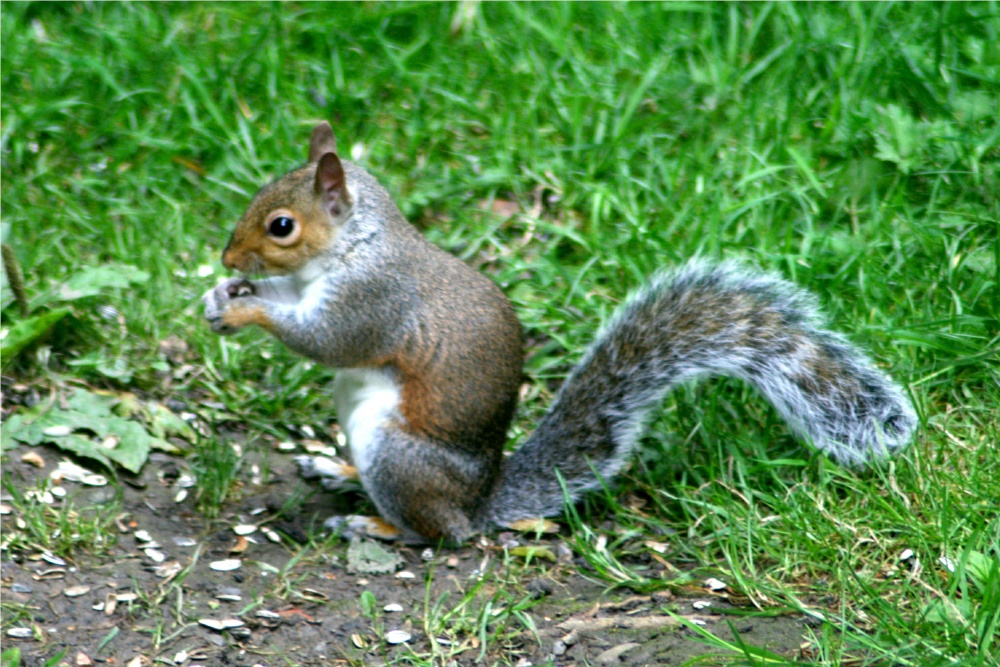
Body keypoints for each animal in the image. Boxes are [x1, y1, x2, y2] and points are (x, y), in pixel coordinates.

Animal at [203, 121, 917, 544]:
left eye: (282, 226)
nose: (229, 256)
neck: (352, 247)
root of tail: (480, 503)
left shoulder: (372, 300)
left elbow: (326, 341)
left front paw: (243, 311)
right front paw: (224, 295)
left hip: (400, 456)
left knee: (436, 534)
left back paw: (372, 523)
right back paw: (335, 466)